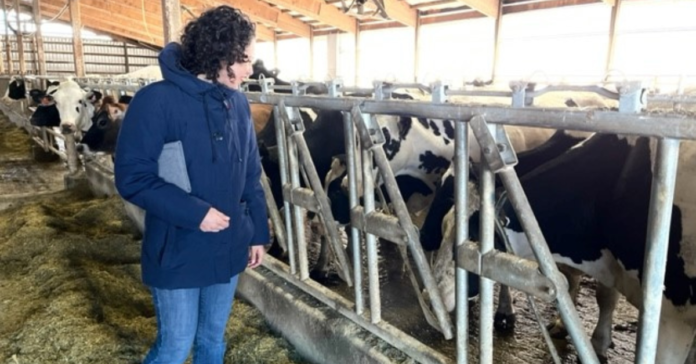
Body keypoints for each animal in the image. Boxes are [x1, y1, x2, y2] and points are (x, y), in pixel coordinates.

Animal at [436, 134, 696, 364]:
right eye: (444, 226)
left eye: (471, 237)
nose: (434, 299)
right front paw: (562, 324)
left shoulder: (672, 313)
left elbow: (604, 298)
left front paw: (597, 345)